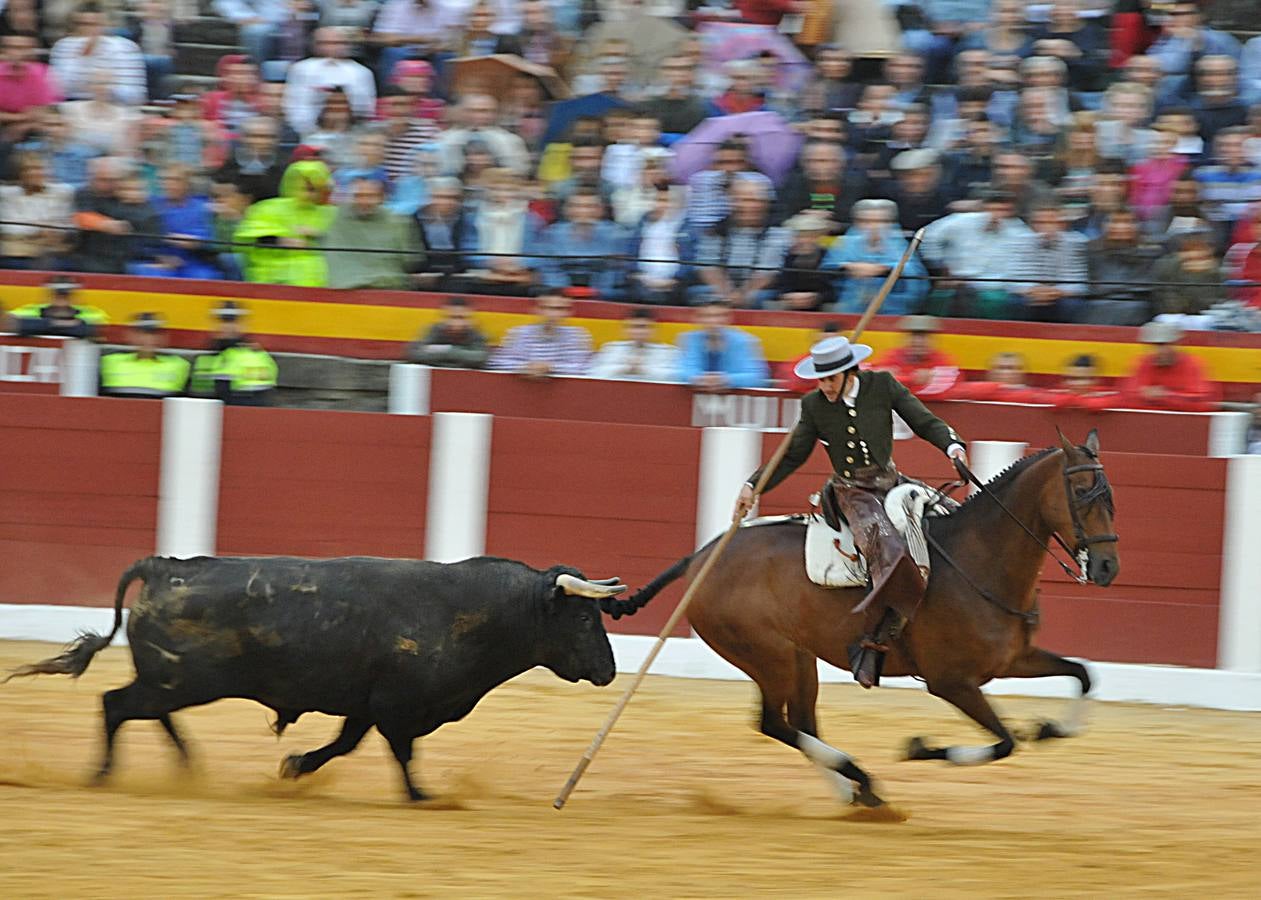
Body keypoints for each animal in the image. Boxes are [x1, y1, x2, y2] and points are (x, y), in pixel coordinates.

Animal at [4, 554, 625, 801]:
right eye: (584, 618)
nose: (608, 672)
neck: (474, 612)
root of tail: (165, 567)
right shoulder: (396, 707)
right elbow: (402, 753)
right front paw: (423, 796)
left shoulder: (367, 705)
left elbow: (345, 744)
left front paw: (294, 765)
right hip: (179, 682)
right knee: (116, 705)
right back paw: (104, 775)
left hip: (173, 682)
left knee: (145, 711)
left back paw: (186, 768)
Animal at [605, 428, 1119, 806]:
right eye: (1080, 491)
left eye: (1110, 495)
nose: (1108, 567)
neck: (977, 558)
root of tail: (700, 558)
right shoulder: (951, 681)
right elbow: (1007, 741)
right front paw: (921, 748)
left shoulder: (1014, 659)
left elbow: (1083, 674)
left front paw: (1051, 728)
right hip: (767, 656)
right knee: (775, 723)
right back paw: (861, 781)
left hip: (799, 657)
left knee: (801, 722)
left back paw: (851, 792)